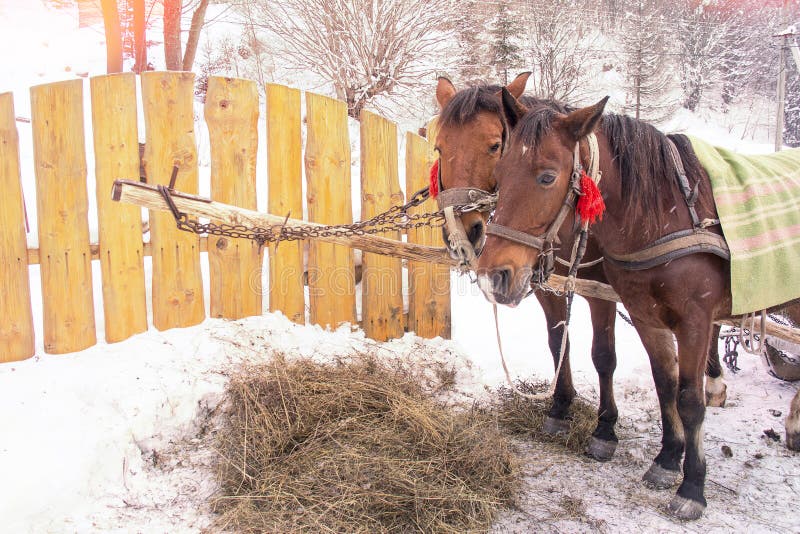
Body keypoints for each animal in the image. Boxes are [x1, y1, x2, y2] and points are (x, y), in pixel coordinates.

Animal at [432, 75, 728, 463]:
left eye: (495, 145)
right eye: (438, 148)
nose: (460, 234)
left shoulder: (603, 294)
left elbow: (603, 356)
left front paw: (605, 428)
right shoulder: (545, 284)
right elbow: (558, 342)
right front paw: (560, 408)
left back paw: (714, 380)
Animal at [475, 88, 800, 520]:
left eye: (547, 176)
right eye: (501, 170)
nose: (492, 275)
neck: (663, 215)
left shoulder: (694, 321)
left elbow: (689, 399)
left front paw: (692, 487)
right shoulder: (647, 315)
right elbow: (665, 383)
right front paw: (667, 460)